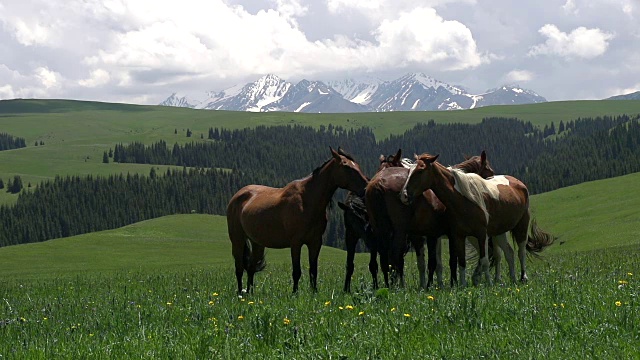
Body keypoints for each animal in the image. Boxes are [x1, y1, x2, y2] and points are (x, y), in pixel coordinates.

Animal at [226, 146, 368, 292]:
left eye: (357, 165)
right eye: (347, 167)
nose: (366, 187)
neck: (307, 200)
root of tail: (237, 196)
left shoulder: (315, 242)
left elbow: (313, 270)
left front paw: (314, 292)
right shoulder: (296, 242)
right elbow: (296, 271)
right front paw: (295, 293)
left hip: (257, 243)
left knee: (251, 268)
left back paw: (250, 292)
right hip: (237, 240)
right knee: (239, 269)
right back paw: (240, 293)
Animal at [338, 149, 402, 292]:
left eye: (367, 218)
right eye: (353, 221)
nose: (368, 236)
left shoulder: (374, 239)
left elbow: (373, 265)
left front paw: (377, 286)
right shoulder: (350, 235)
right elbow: (349, 264)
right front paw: (346, 288)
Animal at [364, 150, 496, 288]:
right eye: (490, 170)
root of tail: (378, 183)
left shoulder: (428, 235)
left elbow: (429, 262)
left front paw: (431, 285)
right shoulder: (449, 234)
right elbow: (449, 260)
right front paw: (449, 284)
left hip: (380, 230)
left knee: (384, 258)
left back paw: (388, 285)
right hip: (399, 231)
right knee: (395, 255)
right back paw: (400, 286)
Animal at [400, 153, 556, 286]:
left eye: (420, 171)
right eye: (410, 171)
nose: (404, 195)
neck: (464, 200)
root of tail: (518, 183)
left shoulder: (481, 235)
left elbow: (484, 259)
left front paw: (488, 283)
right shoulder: (459, 236)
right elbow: (461, 262)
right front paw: (462, 286)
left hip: (521, 225)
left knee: (520, 251)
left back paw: (522, 278)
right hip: (498, 232)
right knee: (508, 252)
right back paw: (511, 279)